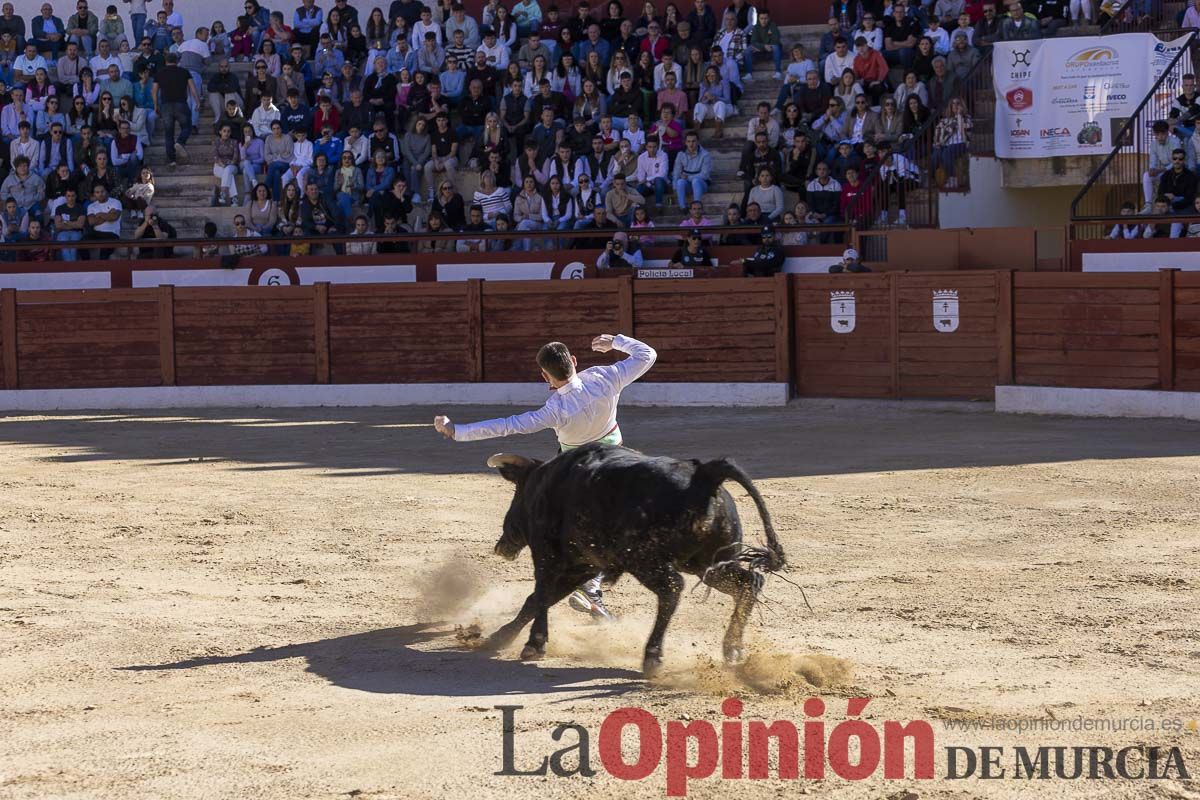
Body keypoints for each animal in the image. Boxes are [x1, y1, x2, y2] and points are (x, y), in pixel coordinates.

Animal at [482, 443, 782, 676]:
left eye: (515, 494)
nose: (501, 546)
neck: (544, 482)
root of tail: (705, 475)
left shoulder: (547, 556)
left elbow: (541, 595)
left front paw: (533, 644)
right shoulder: (583, 566)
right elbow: (535, 601)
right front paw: (498, 638)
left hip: (645, 560)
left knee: (672, 588)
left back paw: (652, 656)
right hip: (711, 565)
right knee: (750, 582)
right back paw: (732, 649)